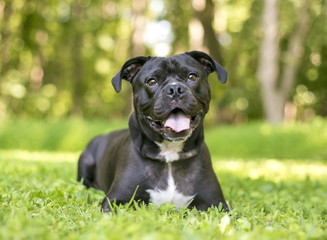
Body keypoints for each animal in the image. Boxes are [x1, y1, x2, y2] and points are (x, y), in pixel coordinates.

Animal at [78, 50, 229, 212]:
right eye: (151, 81)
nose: (175, 90)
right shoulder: (114, 201)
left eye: (192, 77)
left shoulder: (216, 203)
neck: (170, 153)